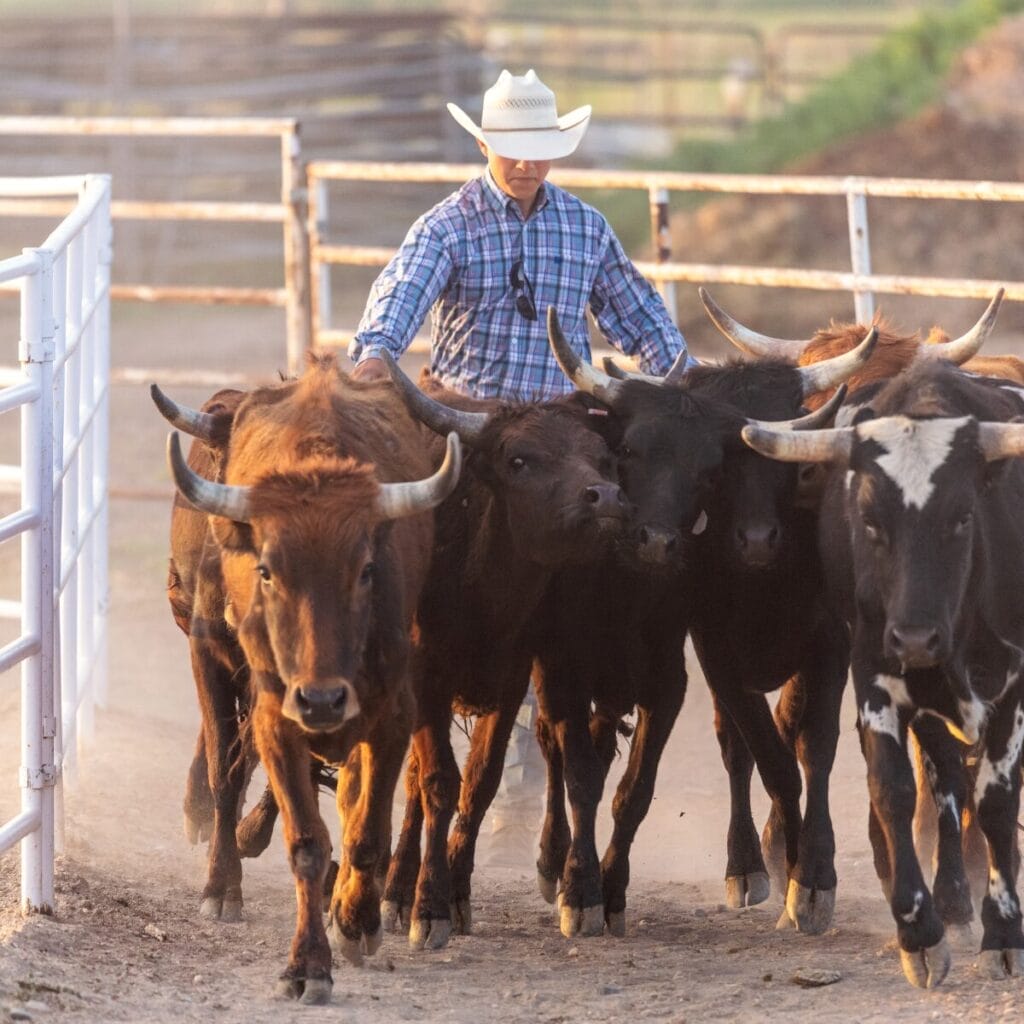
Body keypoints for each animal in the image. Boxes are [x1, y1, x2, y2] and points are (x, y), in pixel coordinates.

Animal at [158, 356, 460, 1003]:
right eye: (267, 570)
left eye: (366, 569)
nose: (322, 698)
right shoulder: (263, 704)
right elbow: (302, 839)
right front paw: (305, 965)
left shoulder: (392, 715)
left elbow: (366, 829)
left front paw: (356, 921)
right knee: (229, 771)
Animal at [745, 362, 1024, 991]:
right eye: (869, 521)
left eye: (963, 517)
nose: (916, 639)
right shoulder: (875, 674)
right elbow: (893, 788)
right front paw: (920, 934)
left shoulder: (1014, 684)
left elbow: (998, 801)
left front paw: (1003, 934)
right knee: (941, 777)